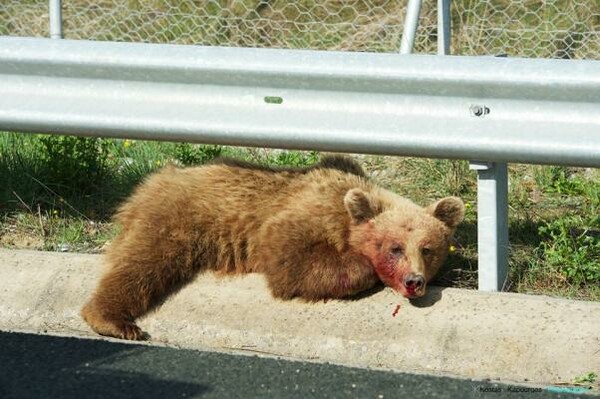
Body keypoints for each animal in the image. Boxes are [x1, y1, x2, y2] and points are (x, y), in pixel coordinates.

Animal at [81, 155, 464, 342]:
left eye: (428, 249)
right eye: (395, 247)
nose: (414, 281)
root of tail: (155, 179)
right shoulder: (303, 214)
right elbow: (287, 255)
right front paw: (361, 269)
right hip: (178, 221)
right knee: (142, 264)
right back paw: (114, 320)